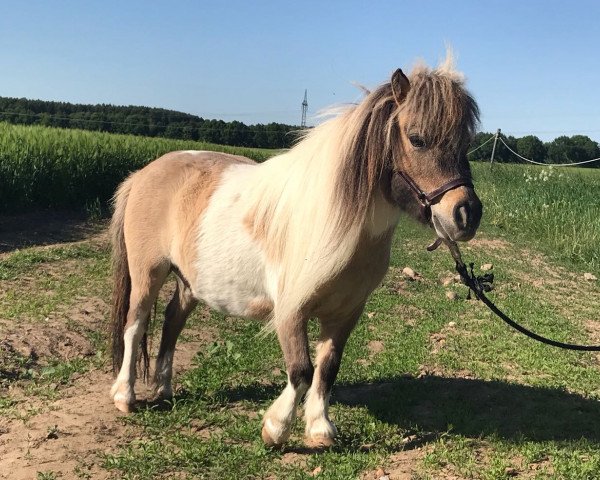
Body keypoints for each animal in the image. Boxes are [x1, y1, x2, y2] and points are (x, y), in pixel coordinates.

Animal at [109, 55, 482, 446]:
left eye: (466, 142)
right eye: (417, 139)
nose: (466, 215)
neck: (336, 223)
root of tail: (143, 174)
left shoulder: (346, 312)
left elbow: (328, 367)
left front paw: (320, 428)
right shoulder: (290, 310)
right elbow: (301, 370)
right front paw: (275, 427)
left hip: (189, 281)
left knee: (172, 320)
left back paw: (164, 389)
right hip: (147, 273)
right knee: (135, 324)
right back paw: (124, 396)